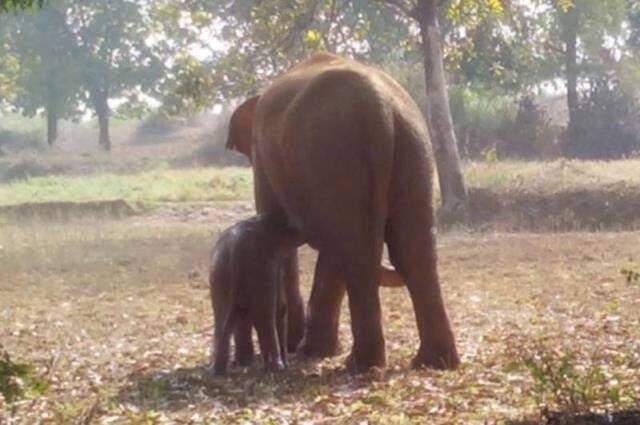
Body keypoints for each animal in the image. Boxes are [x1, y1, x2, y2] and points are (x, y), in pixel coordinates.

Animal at [209, 214, 302, 372]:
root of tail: (237, 248)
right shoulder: (272, 267)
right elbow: (280, 310)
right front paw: (283, 365)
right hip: (258, 269)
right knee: (266, 316)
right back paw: (277, 366)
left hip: (219, 273)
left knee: (223, 316)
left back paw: (218, 369)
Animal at [228, 53, 458, 372]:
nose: (293, 345)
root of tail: (379, 107)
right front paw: (314, 350)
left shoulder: (263, 157)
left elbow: (279, 236)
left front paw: (302, 348)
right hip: (415, 149)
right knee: (410, 250)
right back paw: (434, 362)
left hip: (336, 154)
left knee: (359, 251)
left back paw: (362, 364)